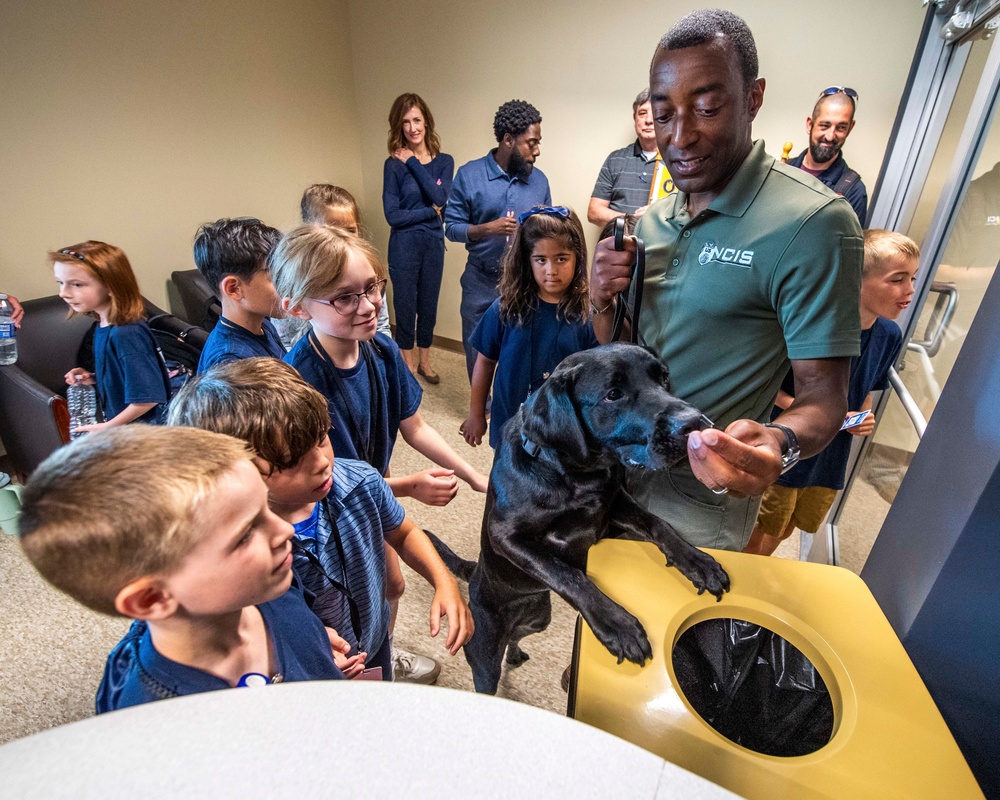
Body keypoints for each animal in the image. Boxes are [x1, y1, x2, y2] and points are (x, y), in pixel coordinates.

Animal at [434, 344, 732, 692]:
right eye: (613, 394)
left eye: (664, 378)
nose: (697, 423)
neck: (576, 475)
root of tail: (475, 573)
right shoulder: (505, 536)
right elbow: (568, 573)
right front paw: (617, 624)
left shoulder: (614, 505)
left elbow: (660, 524)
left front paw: (698, 562)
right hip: (484, 654)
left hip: (539, 619)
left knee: (516, 637)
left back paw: (517, 652)